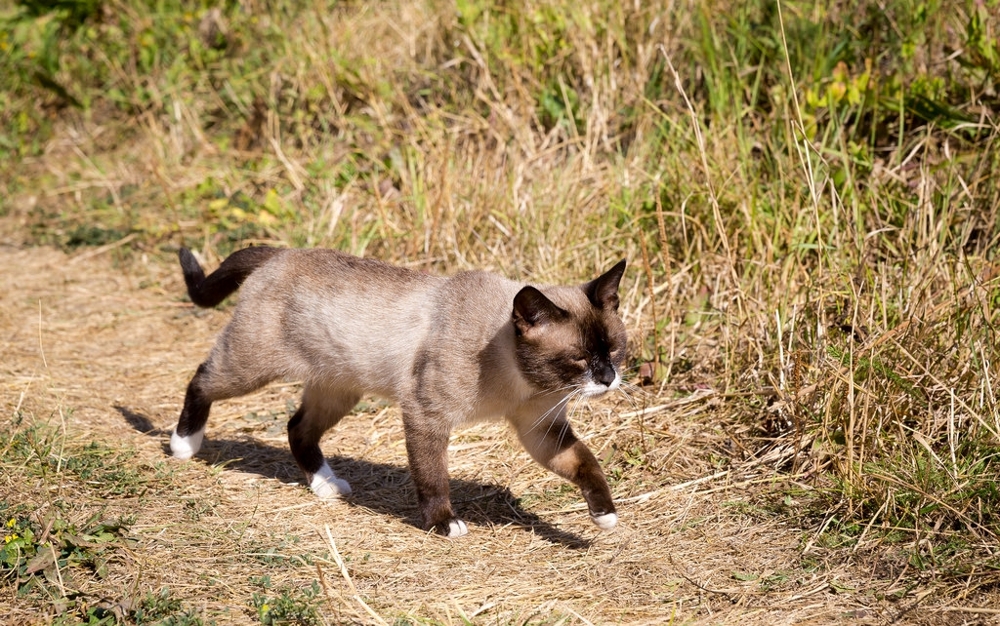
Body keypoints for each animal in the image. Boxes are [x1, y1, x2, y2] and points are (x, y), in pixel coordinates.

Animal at [171, 245, 624, 536]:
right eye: (579, 359)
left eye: (615, 349)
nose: (608, 378)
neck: (523, 382)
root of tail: (281, 252)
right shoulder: (426, 415)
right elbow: (433, 476)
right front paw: (443, 524)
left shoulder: (540, 429)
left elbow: (585, 463)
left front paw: (604, 516)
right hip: (253, 368)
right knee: (200, 379)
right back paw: (183, 445)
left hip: (337, 390)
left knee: (297, 428)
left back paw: (326, 487)